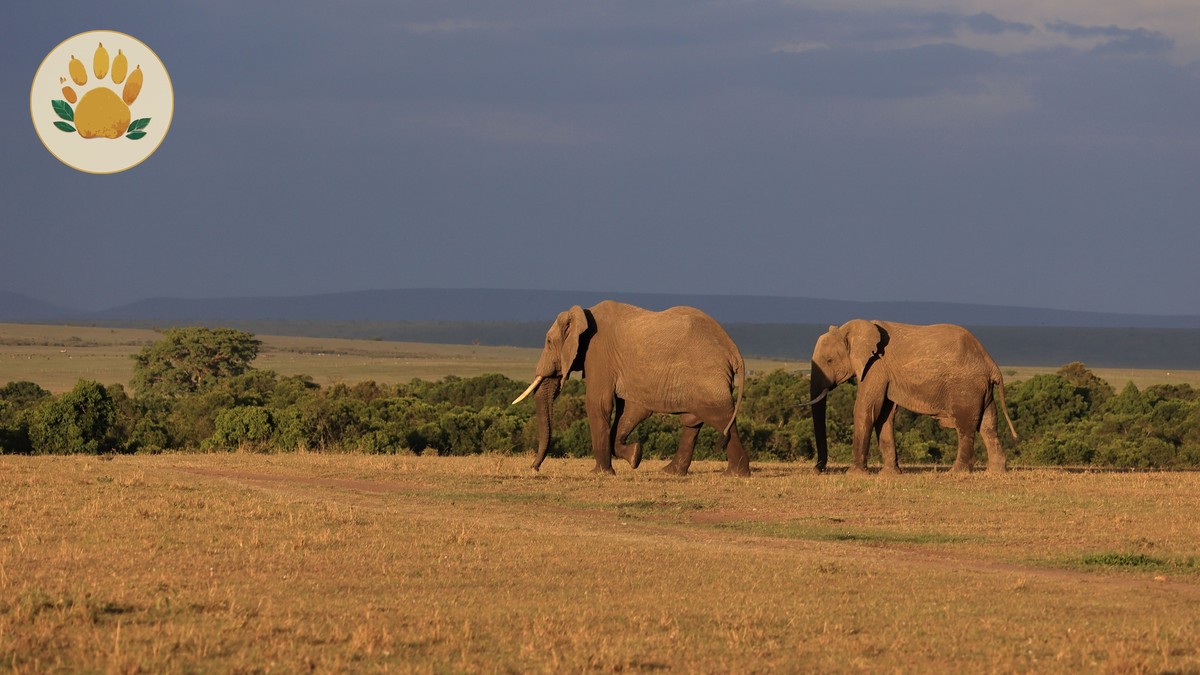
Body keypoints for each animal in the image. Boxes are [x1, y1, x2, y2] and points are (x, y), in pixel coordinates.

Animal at [511, 301, 750, 476]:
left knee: (719, 416)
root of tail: (733, 348)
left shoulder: (598, 353)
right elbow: (630, 410)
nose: (534, 467)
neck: (583, 315)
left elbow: (598, 404)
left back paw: (736, 474)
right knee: (693, 420)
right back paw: (670, 472)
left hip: (707, 374)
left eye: (549, 342)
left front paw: (600, 473)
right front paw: (635, 456)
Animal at [806, 320, 1017, 473]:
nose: (818, 469)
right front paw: (890, 475)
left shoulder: (876, 367)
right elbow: (884, 416)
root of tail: (991, 364)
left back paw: (956, 472)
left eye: (829, 361)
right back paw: (995, 472)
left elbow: (866, 409)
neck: (850, 330)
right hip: (982, 389)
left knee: (966, 426)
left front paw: (855, 474)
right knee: (989, 425)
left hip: (966, 387)